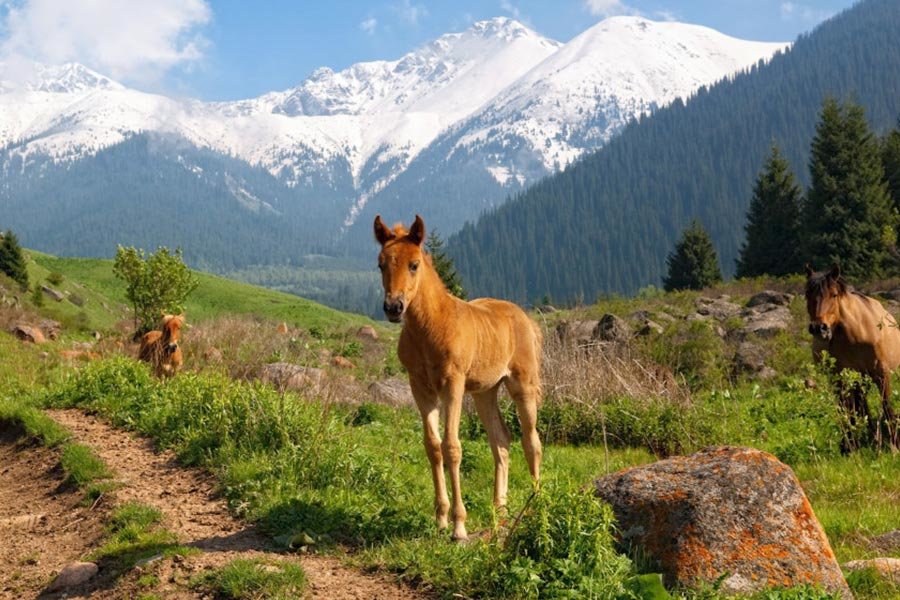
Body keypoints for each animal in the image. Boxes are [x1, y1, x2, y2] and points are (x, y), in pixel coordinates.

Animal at [374, 214, 543, 541]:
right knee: (501, 440)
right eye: (381, 264)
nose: (393, 307)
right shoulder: (420, 387)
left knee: (532, 441)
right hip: (484, 392)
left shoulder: (453, 384)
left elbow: (452, 447)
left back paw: (536, 506)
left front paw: (458, 527)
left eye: (414, 264)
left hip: (522, 385)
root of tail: (526, 319)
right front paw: (440, 519)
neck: (431, 327)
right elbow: (433, 446)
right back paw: (499, 512)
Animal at [805, 264, 900, 448]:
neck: (856, 333)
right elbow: (847, 411)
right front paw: (849, 445)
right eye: (807, 296)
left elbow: (887, 407)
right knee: (855, 407)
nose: (819, 328)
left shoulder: (881, 374)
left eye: (834, 294)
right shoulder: (840, 378)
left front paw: (895, 443)